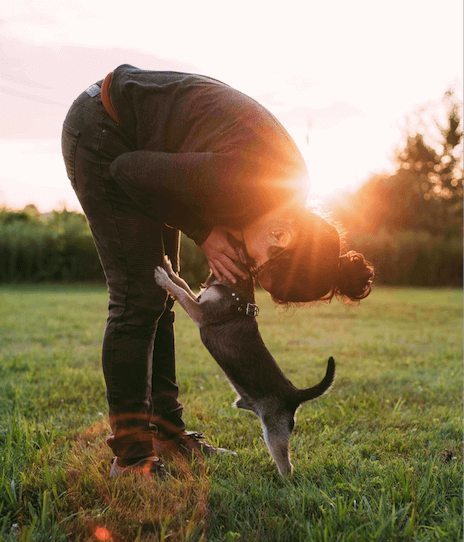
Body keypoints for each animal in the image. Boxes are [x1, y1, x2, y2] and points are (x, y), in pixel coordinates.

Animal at [154, 258, 336, 478]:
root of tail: (294, 394)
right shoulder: (198, 300)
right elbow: (182, 284)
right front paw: (169, 269)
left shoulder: (200, 313)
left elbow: (180, 292)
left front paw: (163, 278)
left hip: (274, 432)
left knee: (287, 466)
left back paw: (284, 482)